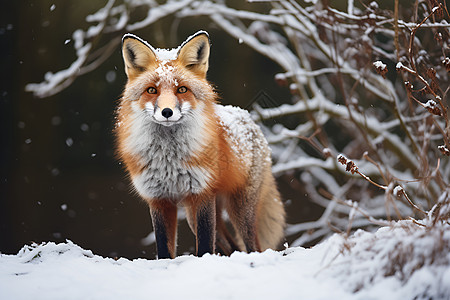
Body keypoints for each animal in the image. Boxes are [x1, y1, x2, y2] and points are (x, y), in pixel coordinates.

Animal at [116, 31, 284, 258]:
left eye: (182, 89)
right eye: (151, 90)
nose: (167, 112)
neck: (168, 159)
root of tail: (247, 118)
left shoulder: (202, 194)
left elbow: (204, 245)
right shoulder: (159, 199)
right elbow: (164, 248)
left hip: (239, 209)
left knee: (251, 247)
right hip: (192, 214)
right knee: (231, 247)